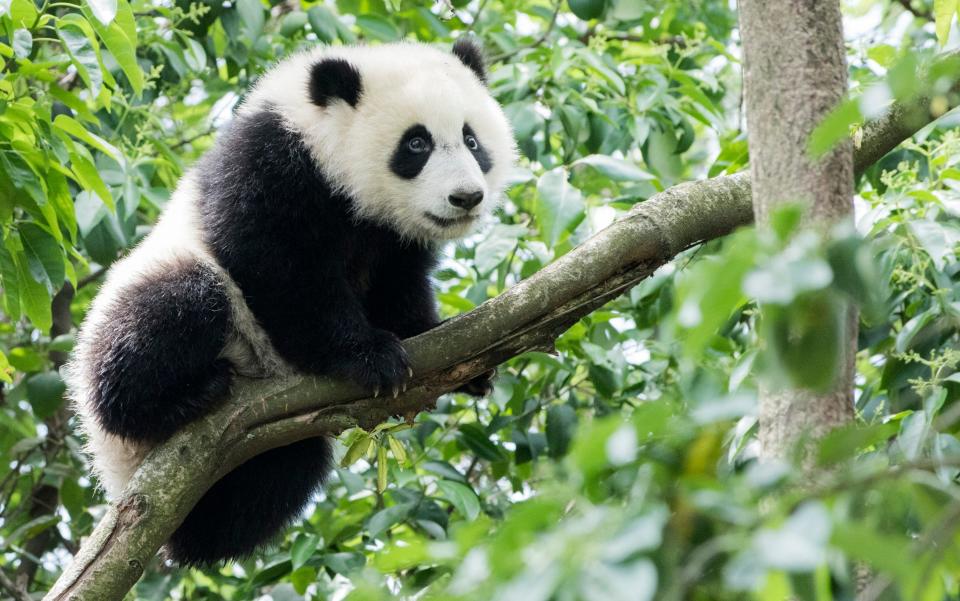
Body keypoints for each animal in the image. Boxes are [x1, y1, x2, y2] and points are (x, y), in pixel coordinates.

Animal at [64, 39, 516, 564]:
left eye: (471, 140)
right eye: (416, 144)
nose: (466, 198)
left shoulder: (393, 239)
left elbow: (398, 290)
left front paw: (457, 357)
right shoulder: (272, 164)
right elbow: (276, 267)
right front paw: (371, 357)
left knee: (282, 472)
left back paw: (202, 525)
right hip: (151, 296)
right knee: (173, 307)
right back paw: (180, 398)